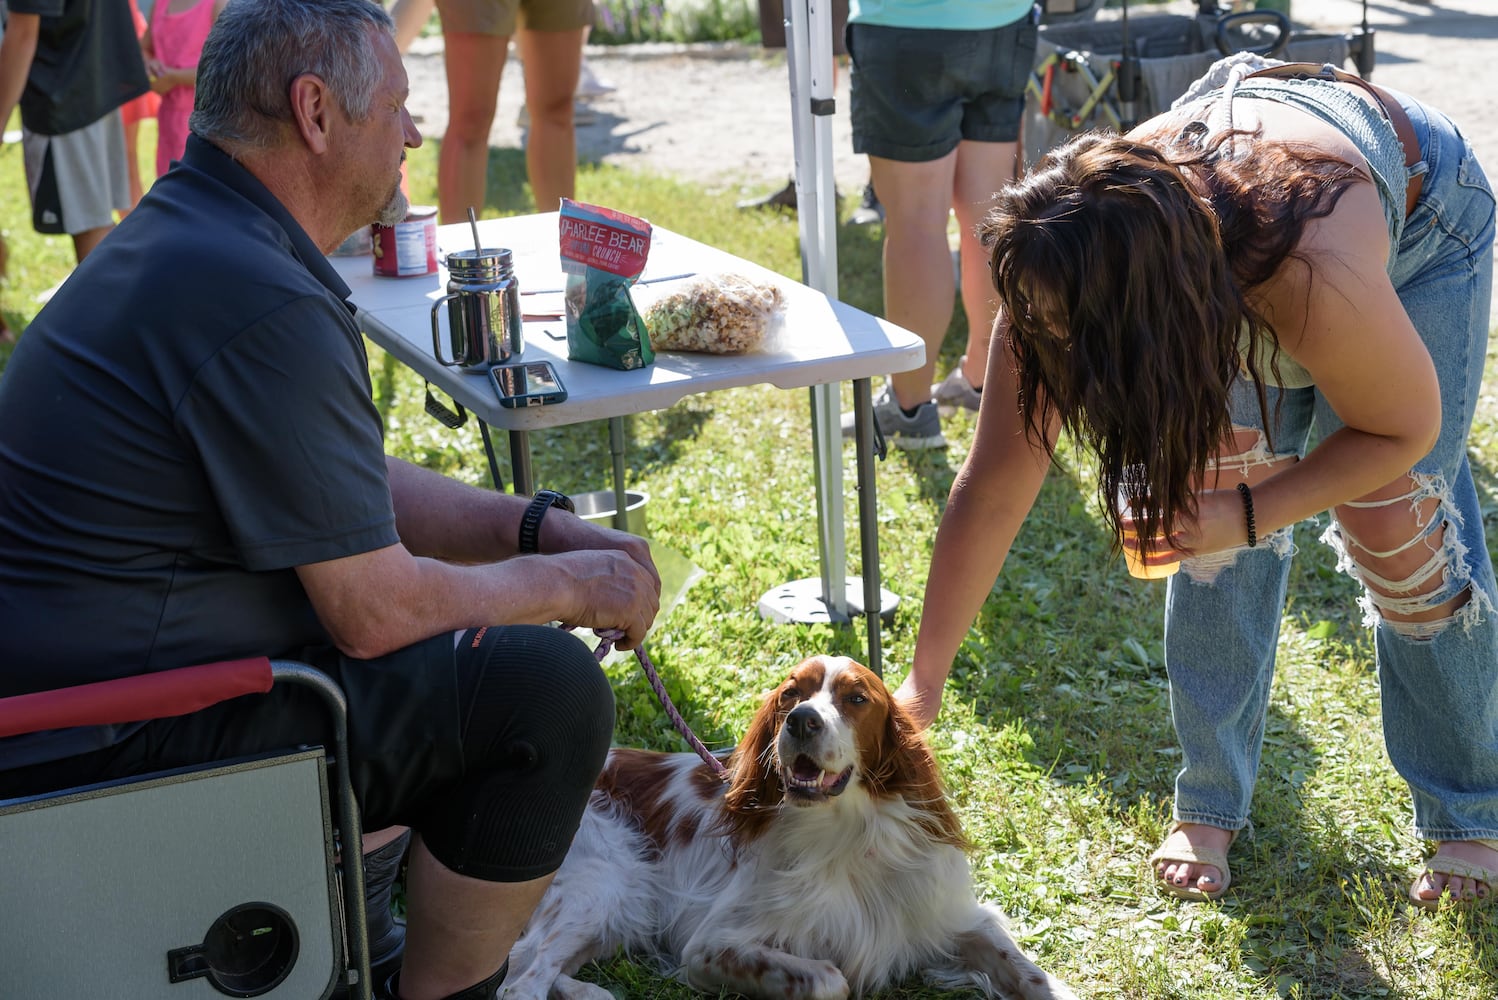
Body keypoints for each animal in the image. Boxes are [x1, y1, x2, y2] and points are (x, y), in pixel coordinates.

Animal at [500, 655, 1078, 999]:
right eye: (789, 695)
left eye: (856, 698)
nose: (802, 720)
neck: (849, 835)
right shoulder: (709, 946)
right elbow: (829, 978)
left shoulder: (945, 914)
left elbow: (1023, 967)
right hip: (602, 886)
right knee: (518, 981)